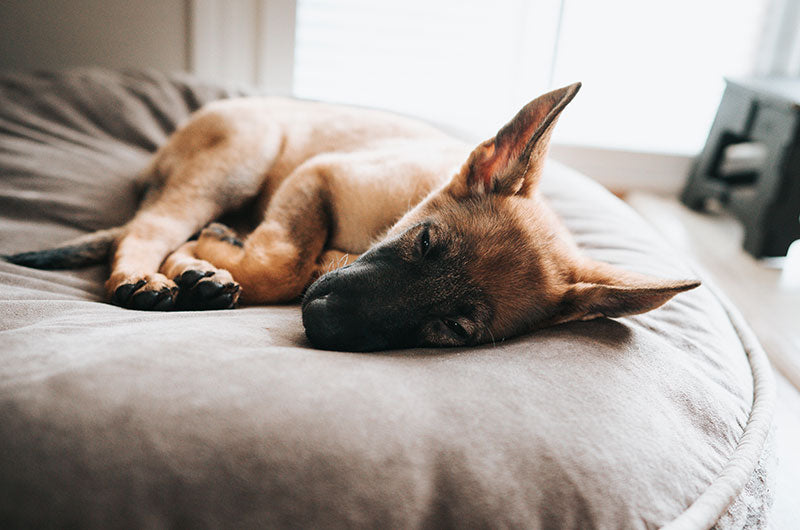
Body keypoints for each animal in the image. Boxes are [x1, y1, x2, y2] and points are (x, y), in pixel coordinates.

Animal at [4, 83, 700, 350]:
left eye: (453, 327)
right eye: (426, 243)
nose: (322, 319)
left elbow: (288, 264)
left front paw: (206, 263)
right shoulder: (321, 173)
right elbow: (282, 264)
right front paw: (203, 262)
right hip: (242, 157)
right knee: (148, 227)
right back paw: (144, 276)